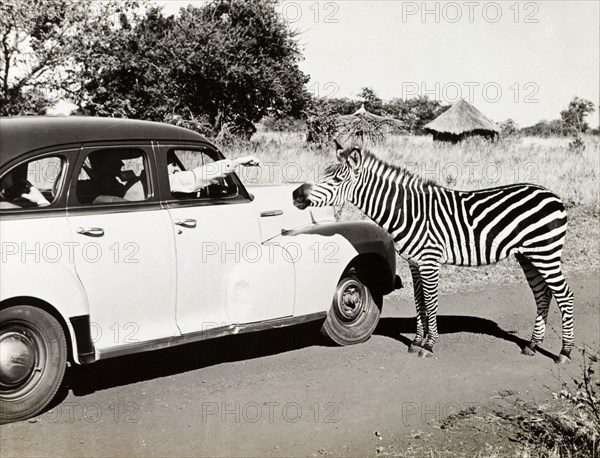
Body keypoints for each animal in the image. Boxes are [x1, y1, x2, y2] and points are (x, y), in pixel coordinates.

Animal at [292, 141, 576, 364]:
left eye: (337, 180)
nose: (296, 194)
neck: (407, 212)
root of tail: (554, 196)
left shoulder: (429, 260)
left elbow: (430, 301)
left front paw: (429, 345)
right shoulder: (415, 263)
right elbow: (419, 301)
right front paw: (417, 340)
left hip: (545, 252)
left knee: (565, 295)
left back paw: (564, 352)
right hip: (528, 255)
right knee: (542, 295)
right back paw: (532, 345)